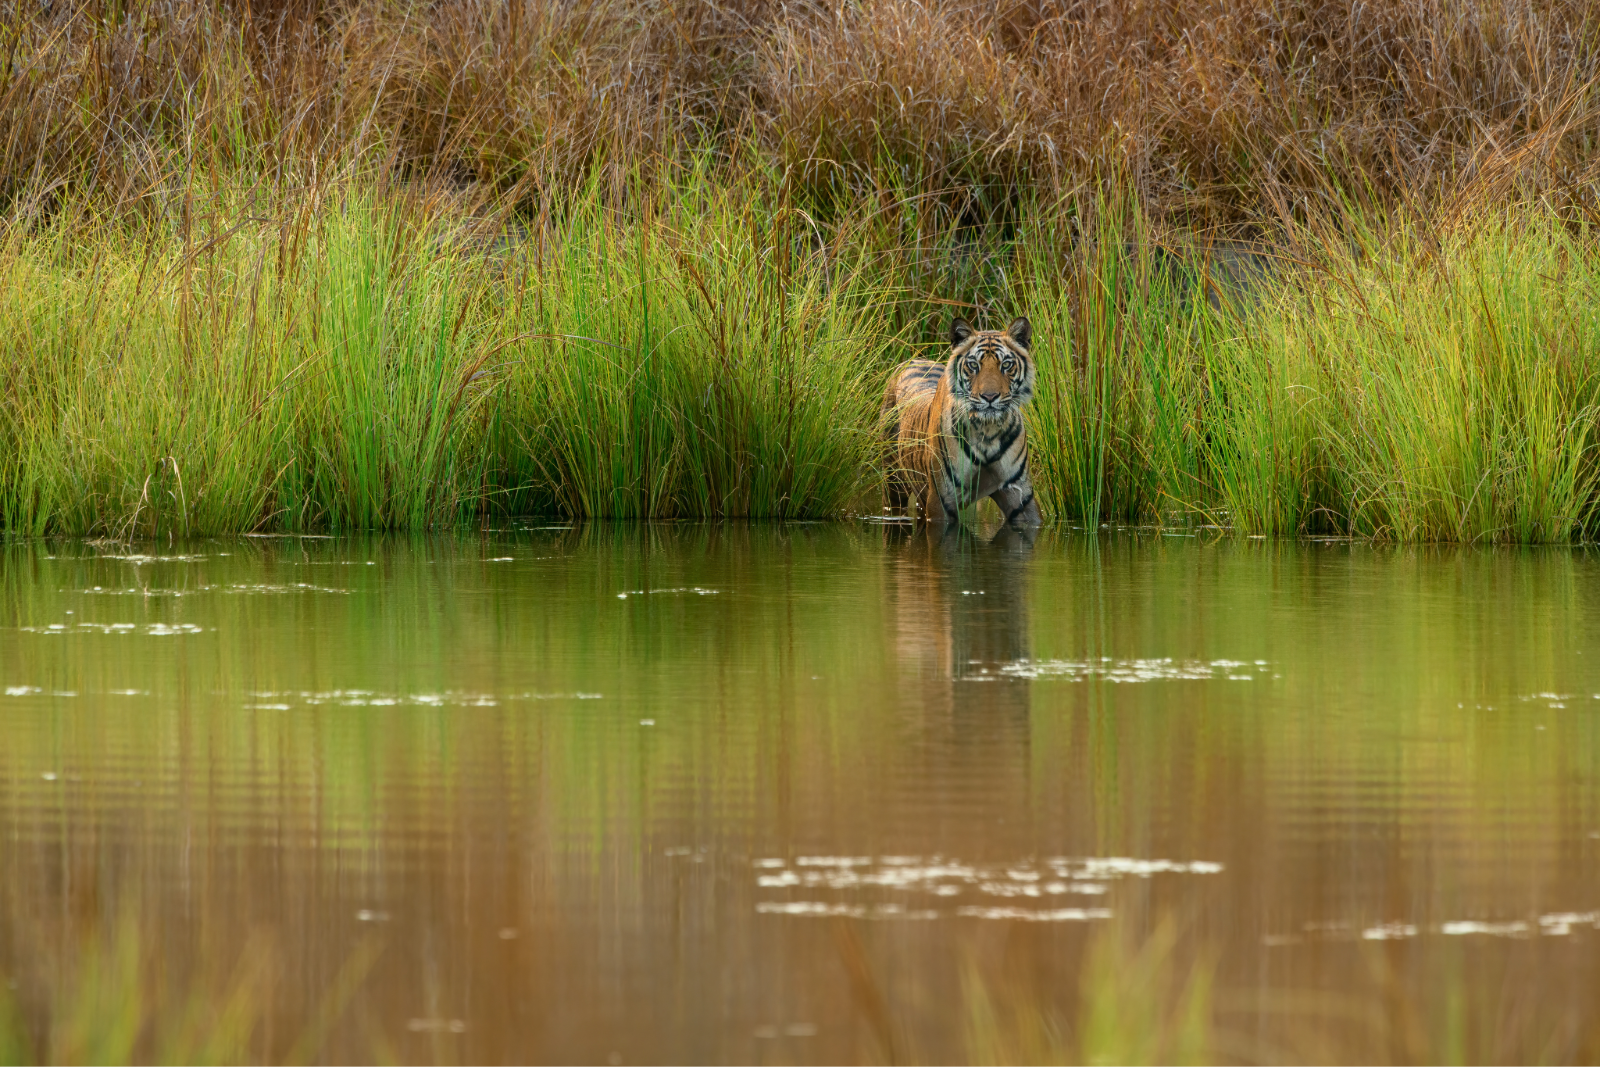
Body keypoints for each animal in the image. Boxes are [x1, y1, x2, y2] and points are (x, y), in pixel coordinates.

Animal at [880, 316, 1041, 527]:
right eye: (973, 365)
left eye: (1006, 365)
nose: (990, 397)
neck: (988, 432)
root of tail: (914, 358)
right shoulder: (941, 501)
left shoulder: (1020, 495)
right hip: (893, 481)